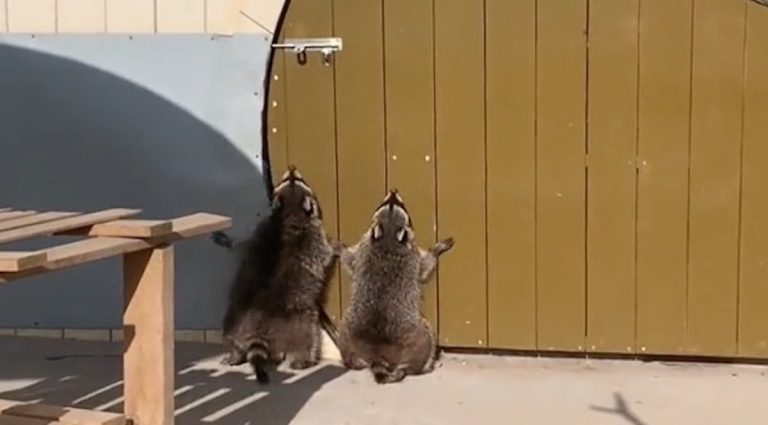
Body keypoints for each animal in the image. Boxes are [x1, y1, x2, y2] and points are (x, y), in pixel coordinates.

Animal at [211, 165, 340, 383]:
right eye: (292, 180)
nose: (292, 168)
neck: (289, 213)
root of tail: (257, 328)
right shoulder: (314, 237)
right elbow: (325, 255)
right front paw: (337, 247)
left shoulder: (259, 232)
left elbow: (241, 246)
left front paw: (228, 241)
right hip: (300, 321)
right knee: (309, 338)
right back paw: (302, 360)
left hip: (234, 318)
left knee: (230, 335)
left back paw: (234, 353)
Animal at [336, 189, 455, 384]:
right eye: (388, 204)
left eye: (396, 204)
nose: (393, 190)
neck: (388, 236)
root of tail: (378, 350)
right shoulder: (413, 256)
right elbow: (425, 267)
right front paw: (436, 250)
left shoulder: (363, 250)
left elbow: (350, 261)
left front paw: (338, 248)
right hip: (416, 337)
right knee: (427, 339)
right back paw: (424, 366)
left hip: (348, 333)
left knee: (344, 337)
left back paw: (351, 361)